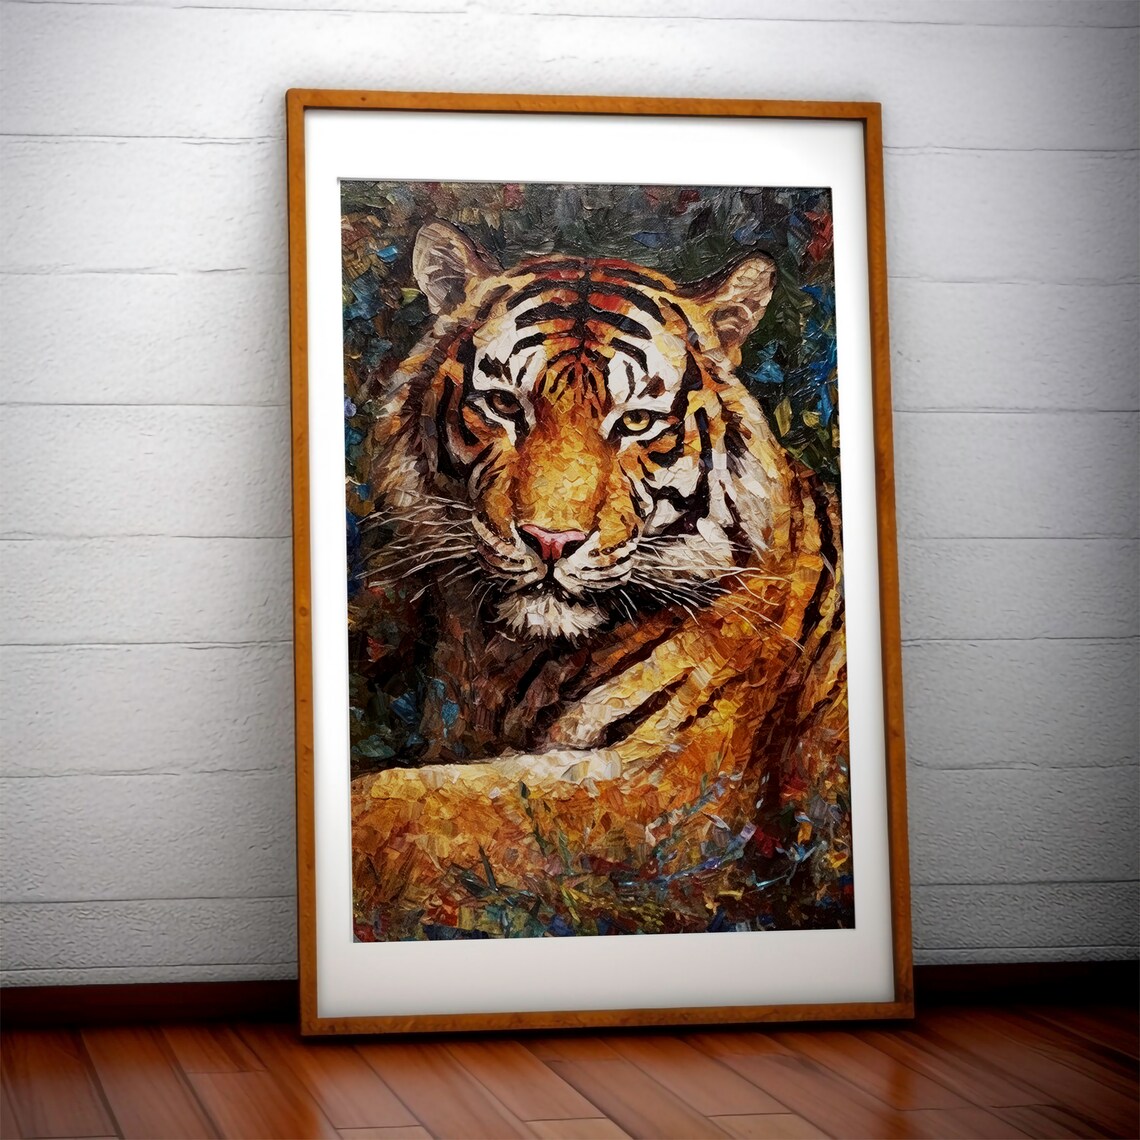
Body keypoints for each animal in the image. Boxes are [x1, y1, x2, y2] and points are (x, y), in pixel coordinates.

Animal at [350, 220, 850, 940]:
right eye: (503, 405)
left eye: (635, 422)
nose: (551, 541)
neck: (504, 655)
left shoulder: (664, 789)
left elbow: (424, 809)